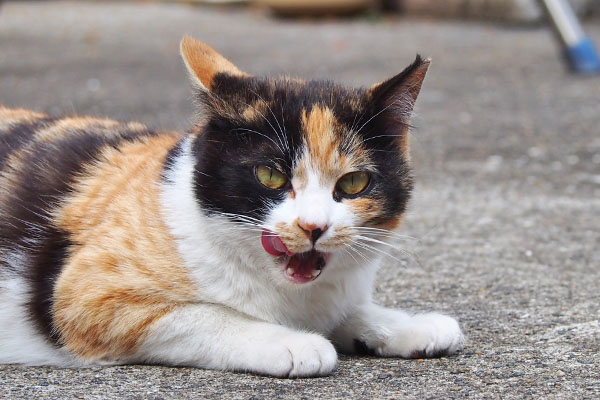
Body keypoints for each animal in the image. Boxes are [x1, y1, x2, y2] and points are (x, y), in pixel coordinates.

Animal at [0, 36, 466, 376]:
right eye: (270, 175)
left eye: (353, 183)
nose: (312, 226)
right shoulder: (87, 296)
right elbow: (207, 316)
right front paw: (291, 342)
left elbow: (348, 311)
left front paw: (408, 325)